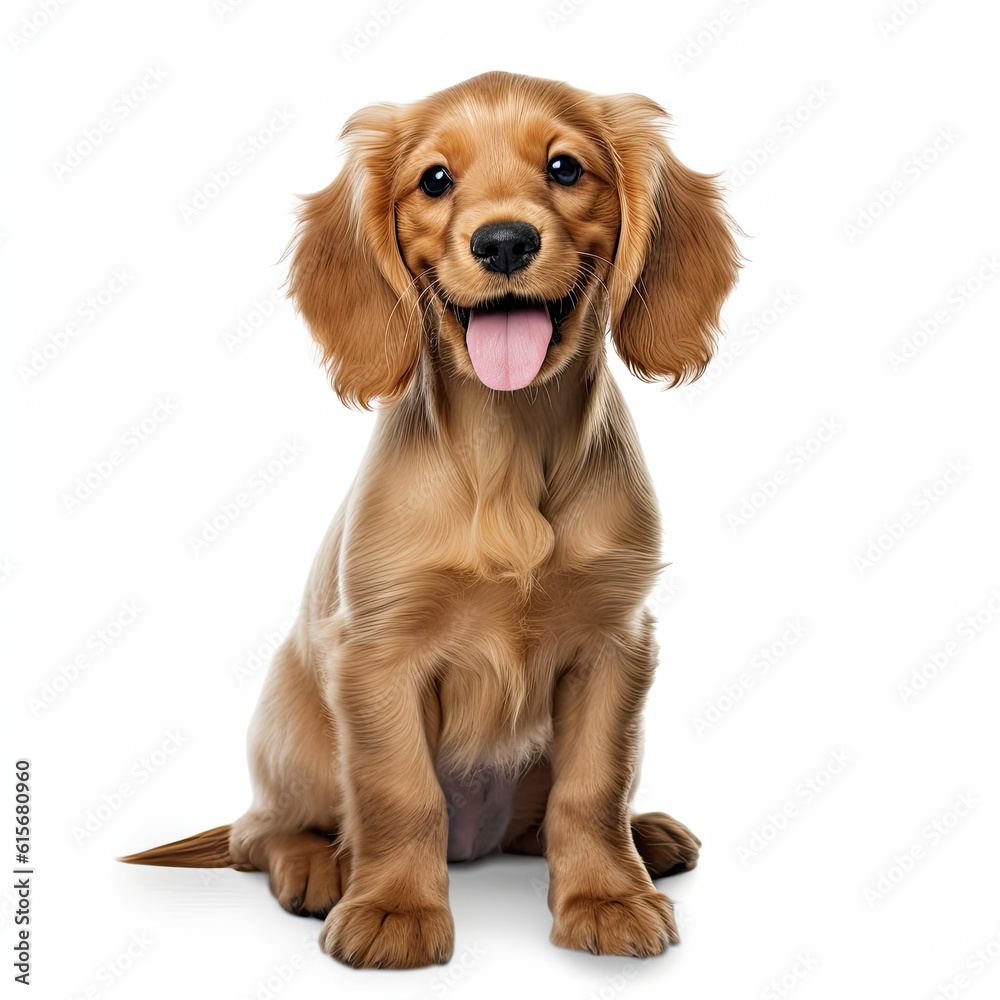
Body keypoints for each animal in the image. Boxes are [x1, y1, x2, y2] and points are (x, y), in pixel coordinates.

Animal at [121, 70, 740, 968]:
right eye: (435, 180)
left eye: (564, 167)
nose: (505, 243)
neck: (509, 451)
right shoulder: (379, 651)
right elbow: (399, 793)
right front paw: (394, 912)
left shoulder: (615, 640)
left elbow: (593, 788)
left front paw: (606, 896)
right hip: (293, 726)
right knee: (258, 832)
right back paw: (316, 867)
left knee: (542, 820)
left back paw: (646, 837)